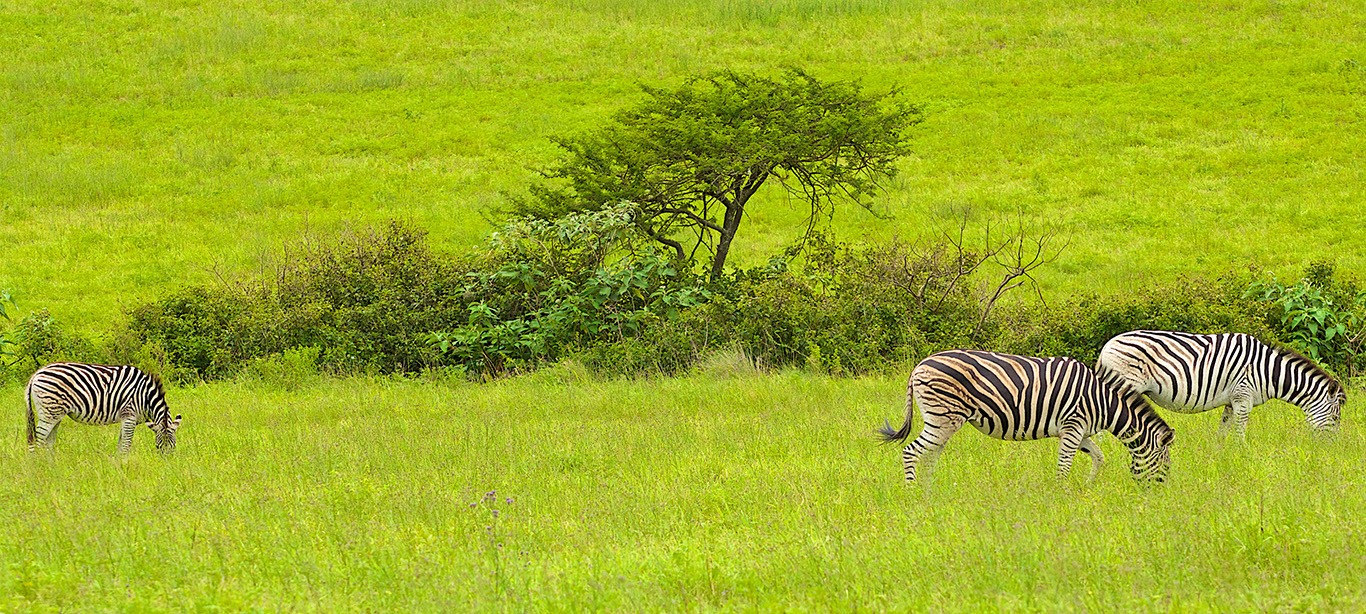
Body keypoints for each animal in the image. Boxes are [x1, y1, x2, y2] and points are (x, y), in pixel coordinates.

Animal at [25, 361, 181, 451]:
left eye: (173, 447)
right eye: (158, 446)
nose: (166, 466)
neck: (145, 397)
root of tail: (36, 374)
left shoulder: (126, 418)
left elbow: (120, 444)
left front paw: (119, 466)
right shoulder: (129, 416)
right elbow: (126, 446)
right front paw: (125, 465)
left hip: (55, 414)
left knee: (48, 442)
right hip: (49, 412)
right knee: (38, 440)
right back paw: (40, 466)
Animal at [879, 350, 1180, 484]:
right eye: (1166, 466)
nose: (1156, 497)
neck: (1103, 402)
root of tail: (919, 365)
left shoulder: (1079, 431)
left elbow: (1099, 457)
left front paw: (1087, 486)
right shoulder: (1073, 426)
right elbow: (1063, 467)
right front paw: (1061, 497)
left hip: (943, 421)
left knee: (929, 456)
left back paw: (929, 493)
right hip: (943, 418)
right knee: (911, 452)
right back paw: (913, 494)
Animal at [1092, 330, 1338, 434]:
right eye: (1336, 418)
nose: (1331, 449)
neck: (1269, 371)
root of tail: (1107, 346)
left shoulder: (1231, 401)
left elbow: (1223, 433)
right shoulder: (1243, 398)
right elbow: (1239, 434)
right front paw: (1242, 458)